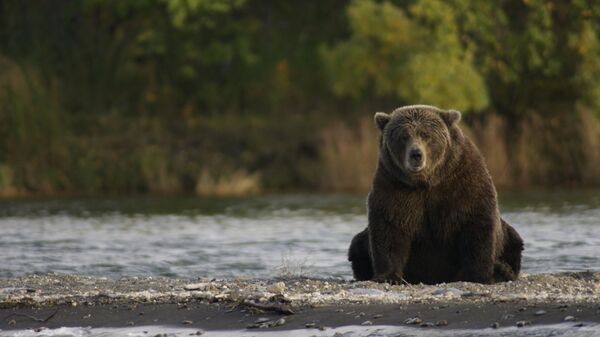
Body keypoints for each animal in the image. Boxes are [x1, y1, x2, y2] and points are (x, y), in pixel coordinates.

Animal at [350, 105, 524, 284]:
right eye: (404, 136)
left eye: (426, 135)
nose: (416, 154)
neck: (427, 181)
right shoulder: (393, 185)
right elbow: (390, 227)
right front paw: (388, 277)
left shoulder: (463, 181)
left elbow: (476, 225)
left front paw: (480, 275)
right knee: (357, 245)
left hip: (508, 237)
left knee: (514, 241)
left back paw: (502, 270)